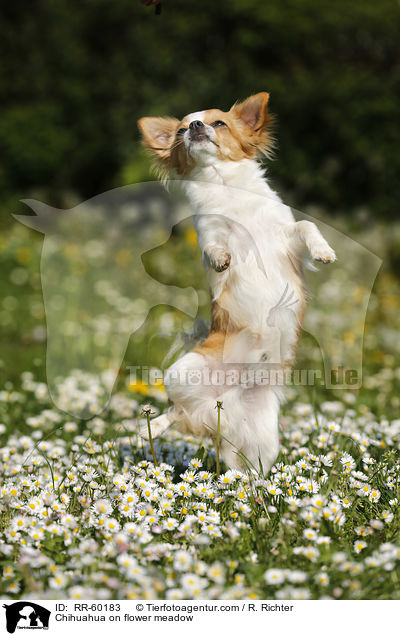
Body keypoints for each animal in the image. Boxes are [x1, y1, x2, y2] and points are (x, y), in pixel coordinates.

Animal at [138, 93, 334, 472]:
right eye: (181, 130)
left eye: (219, 123)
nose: (195, 126)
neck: (227, 189)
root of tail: (217, 407)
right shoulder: (209, 234)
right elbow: (214, 247)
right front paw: (221, 258)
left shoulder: (287, 240)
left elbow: (306, 225)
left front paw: (323, 251)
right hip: (182, 373)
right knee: (175, 410)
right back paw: (151, 426)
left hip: (263, 439)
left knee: (245, 468)